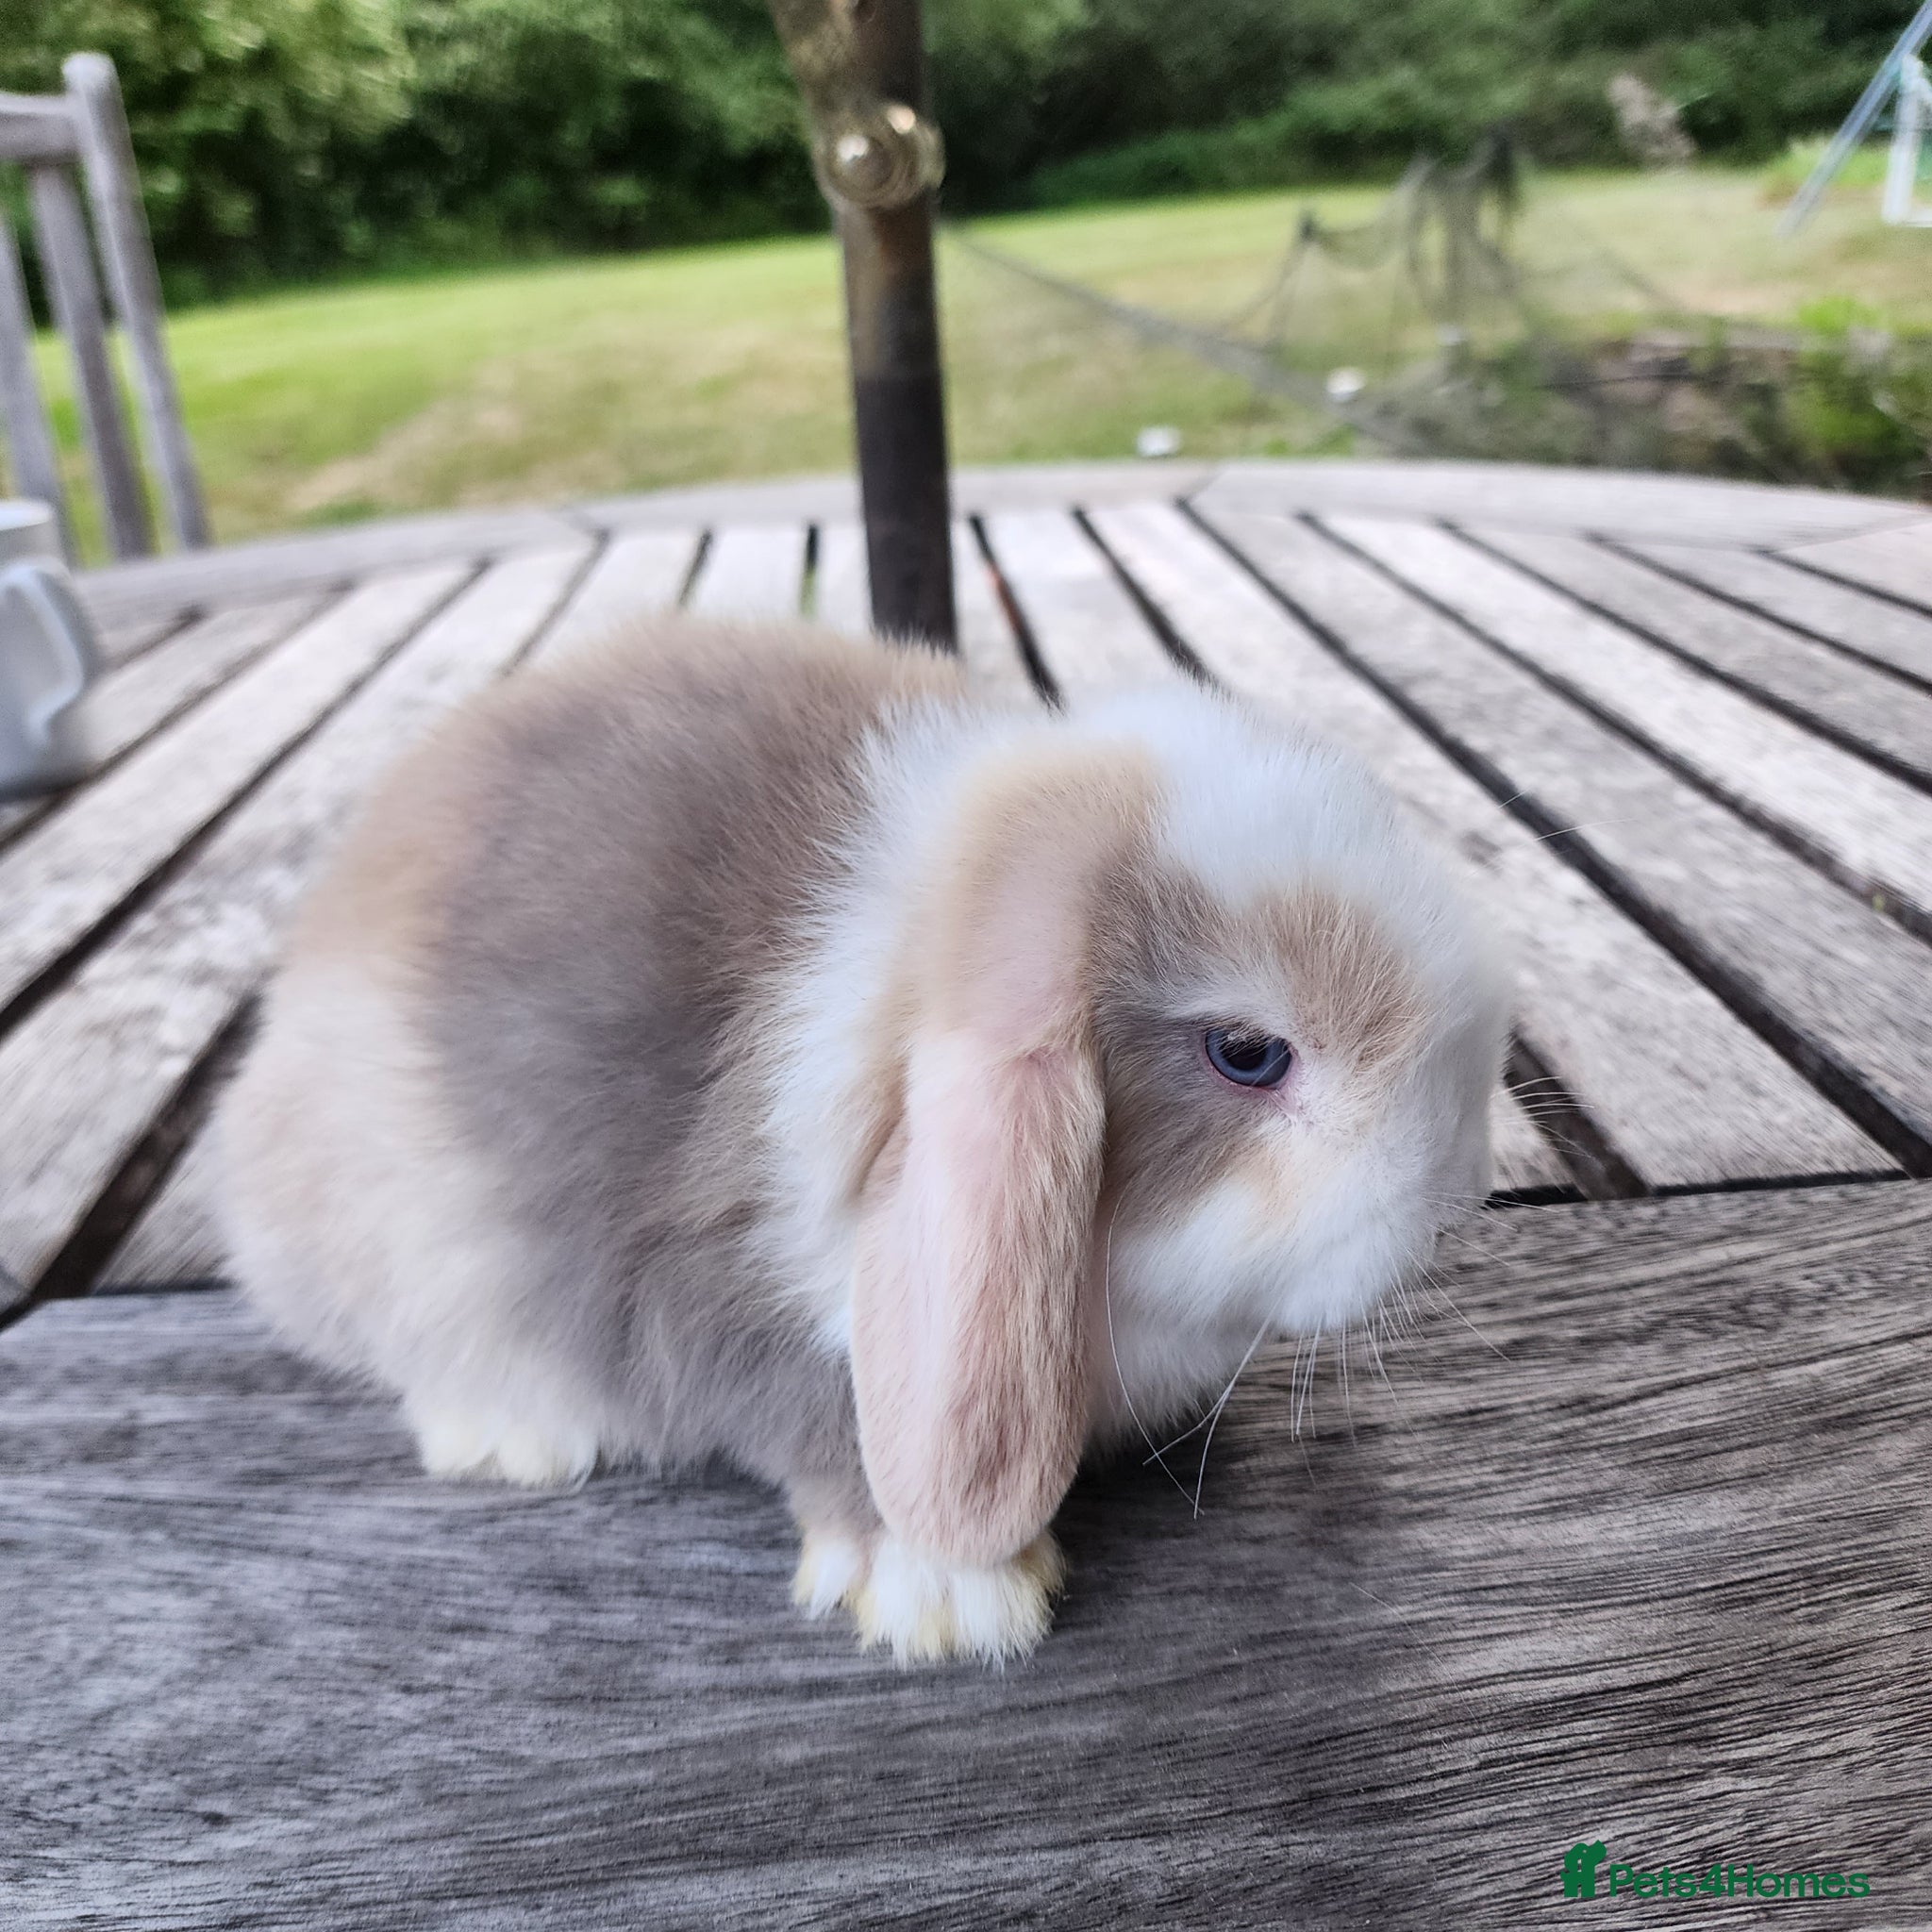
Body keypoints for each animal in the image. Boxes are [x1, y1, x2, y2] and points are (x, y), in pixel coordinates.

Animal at [217, 610, 1509, 1664]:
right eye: (1245, 1052)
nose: (1454, 1202)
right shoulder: (733, 1295)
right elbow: (826, 1430)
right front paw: (949, 1597)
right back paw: (512, 1433)